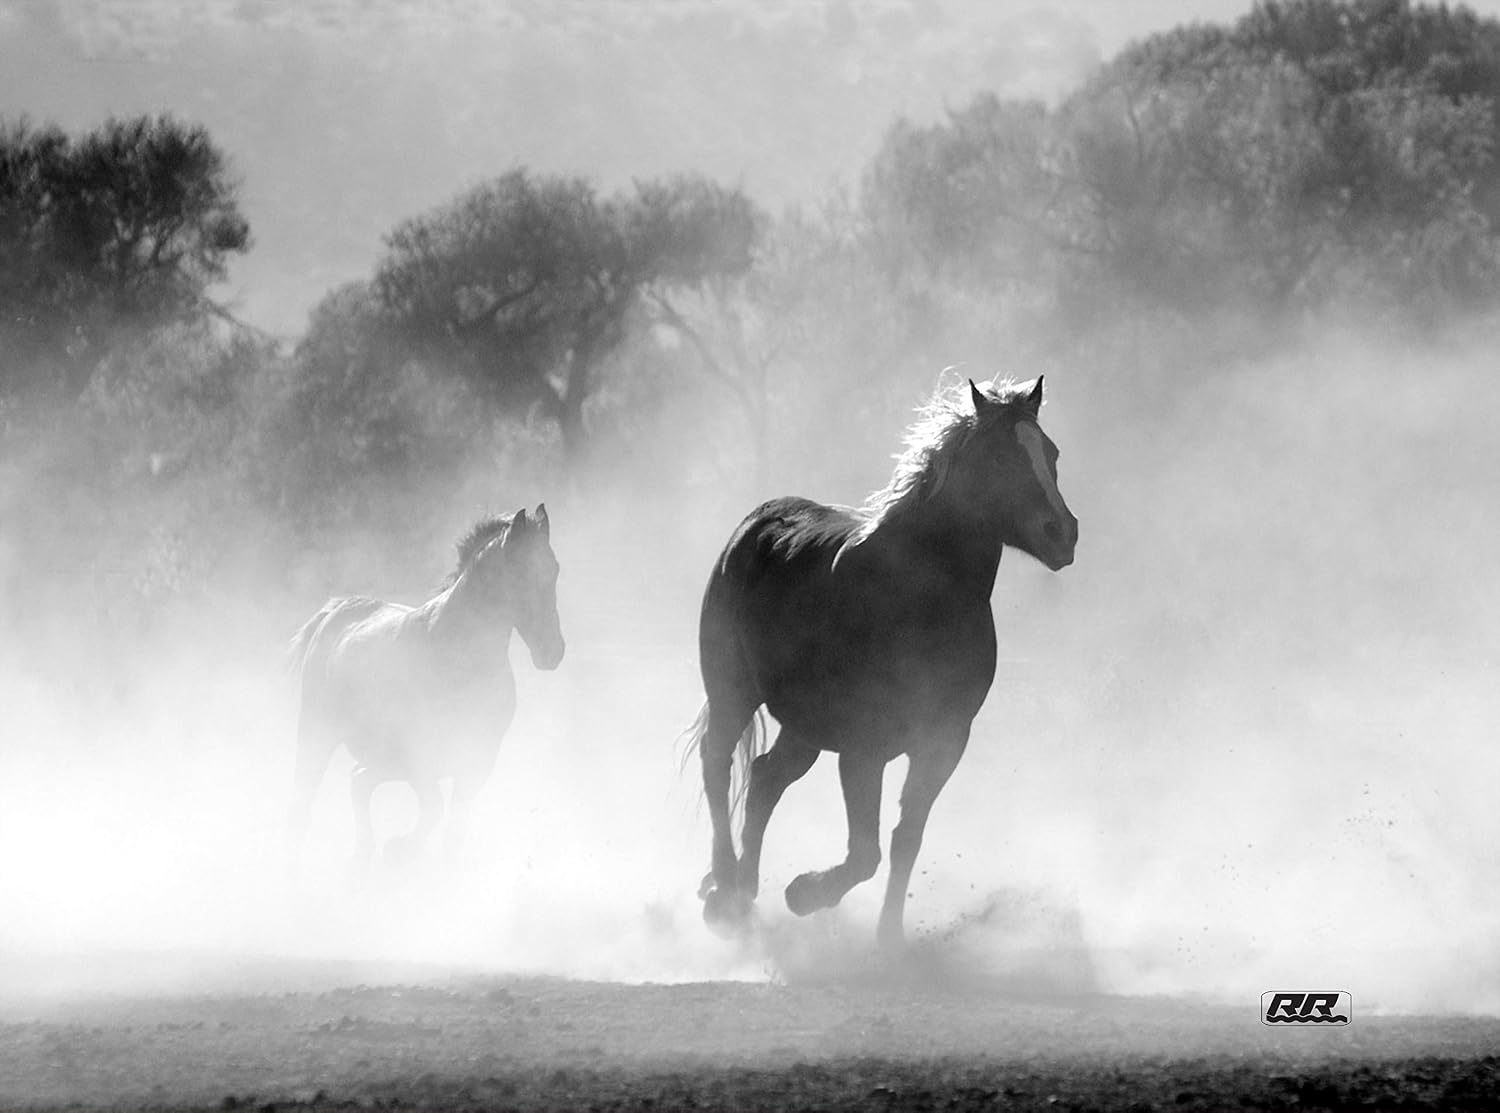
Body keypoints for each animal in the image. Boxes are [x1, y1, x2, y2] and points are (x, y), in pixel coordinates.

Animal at [286, 505, 564, 876]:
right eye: (520, 572)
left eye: (554, 569)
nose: (552, 651)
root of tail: (336, 612)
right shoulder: (420, 756)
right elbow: (434, 808)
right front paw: (400, 850)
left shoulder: (477, 761)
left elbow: (453, 833)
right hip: (318, 733)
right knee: (304, 801)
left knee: (358, 781)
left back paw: (361, 859)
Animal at [685, 376, 1077, 947]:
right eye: (1001, 456)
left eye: (1051, 453)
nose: (1062, 532)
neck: (920, 600)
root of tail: (755, 524)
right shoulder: (863, 749)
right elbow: (865, 852)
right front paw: (805, 893)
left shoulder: (943, 742)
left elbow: (904, 838)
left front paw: (888, 938)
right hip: (733, 691)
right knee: (718, 767)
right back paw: (725, 891)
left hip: (804, 726)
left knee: (763, 780)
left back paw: (743, 891)